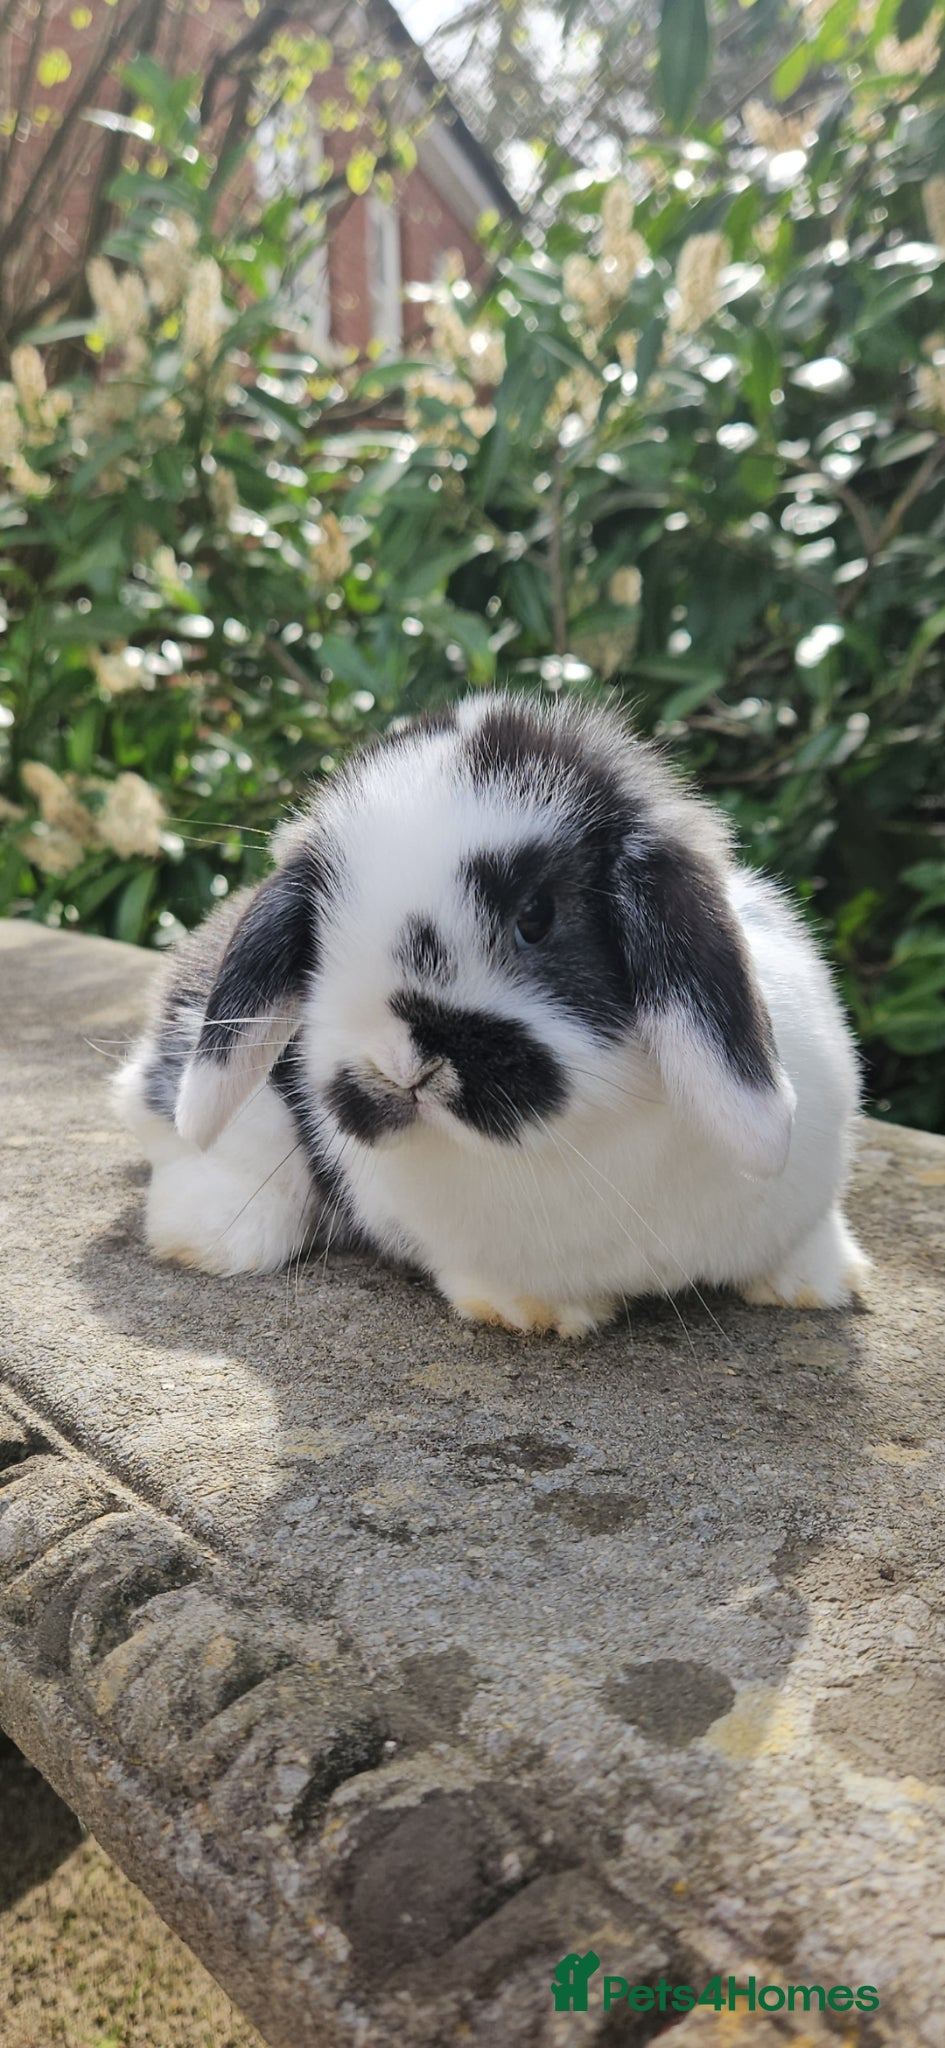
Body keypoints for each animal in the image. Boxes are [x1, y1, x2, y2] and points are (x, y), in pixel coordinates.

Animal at [114, 690, 869, 1337]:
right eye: (318, 939)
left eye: (535, 917)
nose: (400, 1067)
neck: (591, 1135)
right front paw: (529, 1312)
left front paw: (816, 1285)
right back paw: (202, 1239)